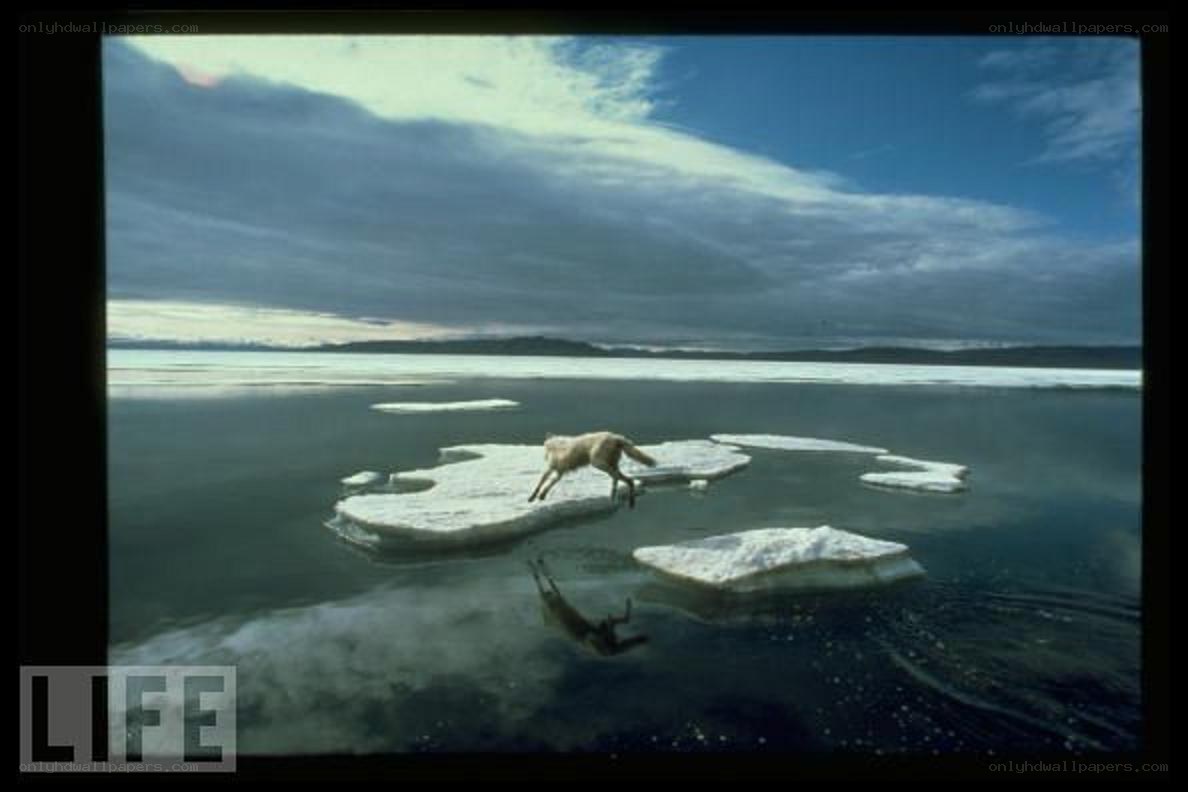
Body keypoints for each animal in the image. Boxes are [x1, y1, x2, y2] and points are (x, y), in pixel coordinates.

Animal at [528, 431, 657, 508]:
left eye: (544, 447)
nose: (544, 456)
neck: (555, 446)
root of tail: (616, 437)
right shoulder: (559, 473)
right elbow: (547, 484)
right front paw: (539, 496)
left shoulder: (553, 469)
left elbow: (541, 483)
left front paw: (534, 497)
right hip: (610, 464)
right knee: (628, 480)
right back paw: (627, 501)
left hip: (598, 463)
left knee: (617, 477)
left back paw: (614, 495)